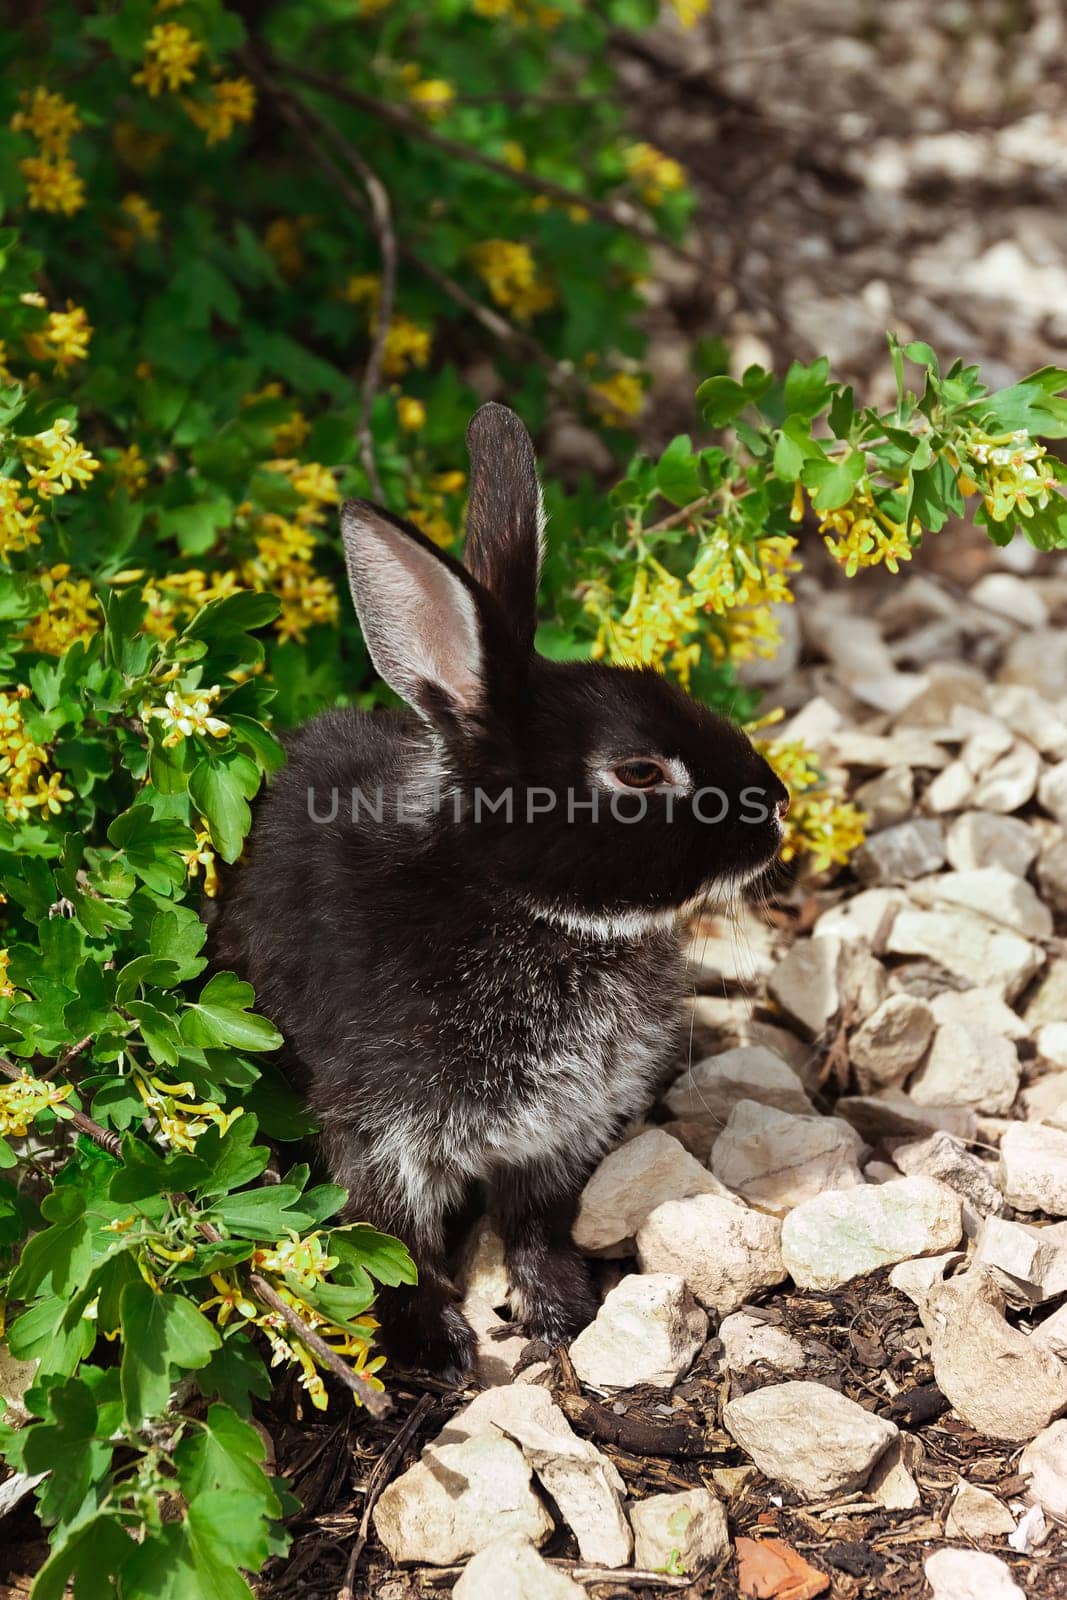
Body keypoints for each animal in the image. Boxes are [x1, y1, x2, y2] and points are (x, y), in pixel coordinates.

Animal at [211, 406, 793, 1369]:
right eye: (638, 772)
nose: (777, 805)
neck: (518, 903)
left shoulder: (558, 1135)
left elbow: (536, 1224)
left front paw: (561, 1312)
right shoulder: (382, 1131)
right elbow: (395, 1242)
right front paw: (438, 1348)